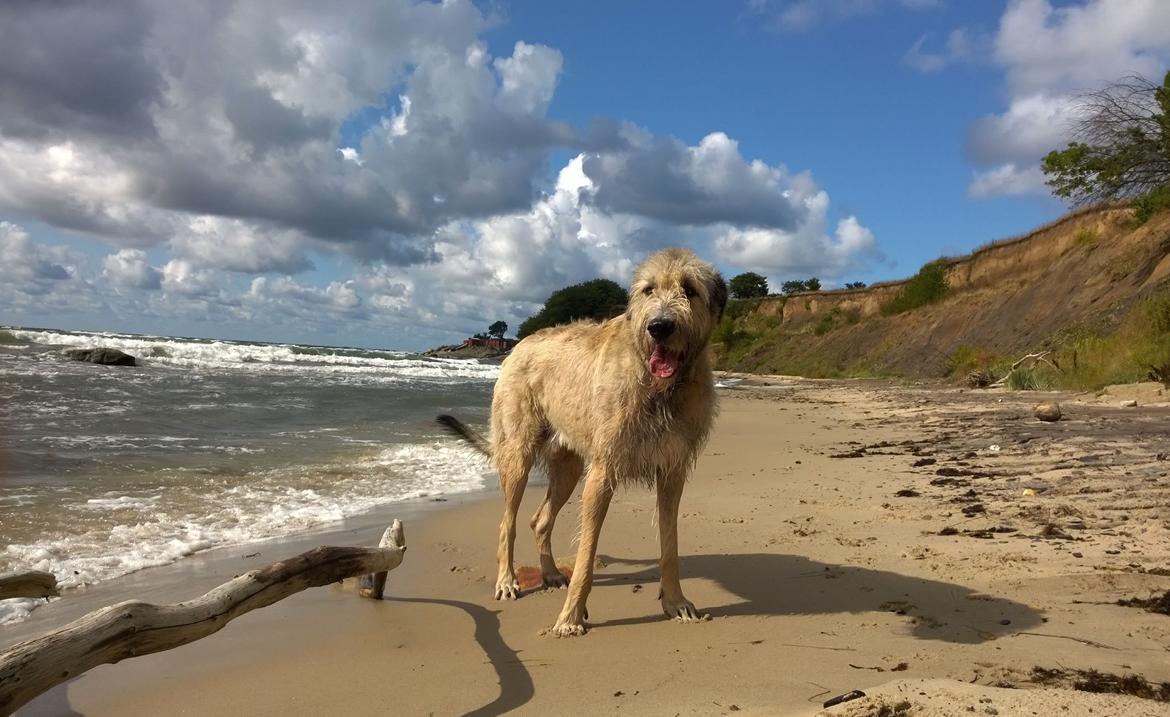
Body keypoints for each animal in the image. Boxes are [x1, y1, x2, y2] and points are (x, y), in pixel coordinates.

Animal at [442, 249, 725, 636]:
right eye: (649, 290)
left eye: (690, 289)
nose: (659, 327)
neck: (658, 387)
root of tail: (518, 346)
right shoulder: (602, 473)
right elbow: (586, 554)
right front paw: (571, 616)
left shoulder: (672, 471)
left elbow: (670, 544)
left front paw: (675, 601)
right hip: (519, 453)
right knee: (508, 523)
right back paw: (507, 580)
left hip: (569, 468)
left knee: (540, 520)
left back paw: (549, 574)